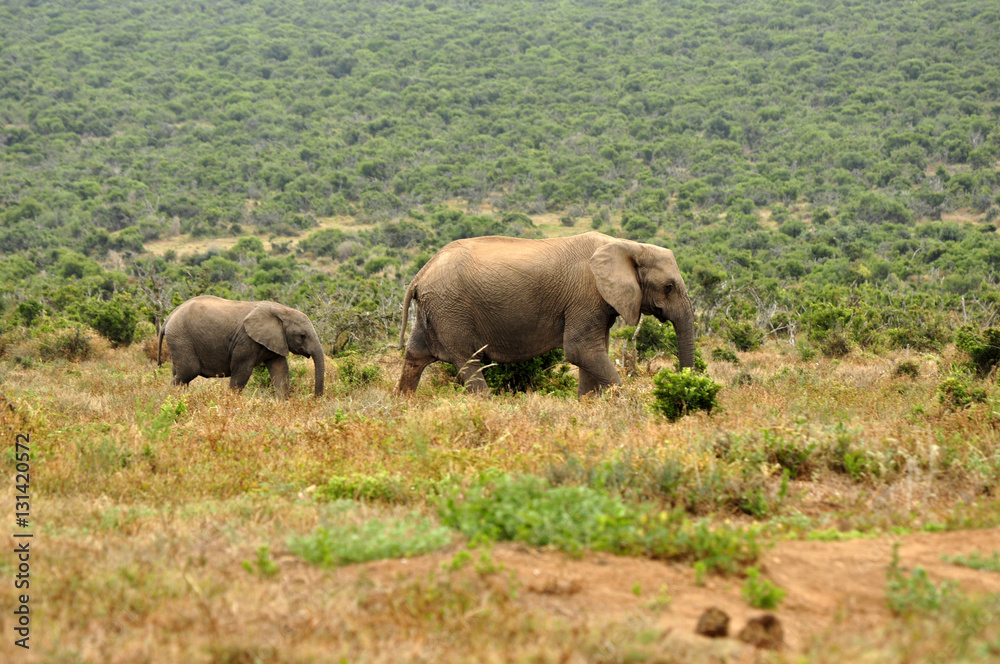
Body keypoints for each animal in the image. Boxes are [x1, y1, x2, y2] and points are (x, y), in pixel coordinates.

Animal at [157, 296, 324, 400]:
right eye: (303, 336)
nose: (315, 400)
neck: (281, 310)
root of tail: (168, 319)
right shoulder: (246, 341)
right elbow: (242, 372)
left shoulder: (276, 340)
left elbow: (280, 370)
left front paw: (283, 404)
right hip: (181, 338)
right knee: (187, 372)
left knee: (179, 373)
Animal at [394, 231, 692, 396]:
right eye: (668, 287)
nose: (684, 385)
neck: (627, 245)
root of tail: (421, 272)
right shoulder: (586, 295)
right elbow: (580, 350)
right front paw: (626, 405)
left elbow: (593, 352)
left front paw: (588, 405)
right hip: (451, 309)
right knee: (468, 360)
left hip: (435, 308)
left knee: (416, 355)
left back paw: (403, 405)